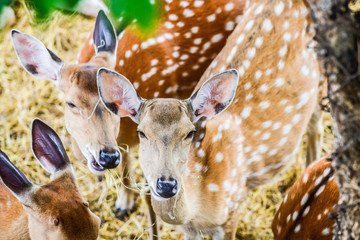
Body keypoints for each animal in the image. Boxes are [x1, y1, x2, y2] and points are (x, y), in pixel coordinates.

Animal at [96, 0, 320, 237]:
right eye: (142, 133)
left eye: (189, 133)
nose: (166, 184)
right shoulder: (190, 230)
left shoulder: (230, 212)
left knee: (316, 127)